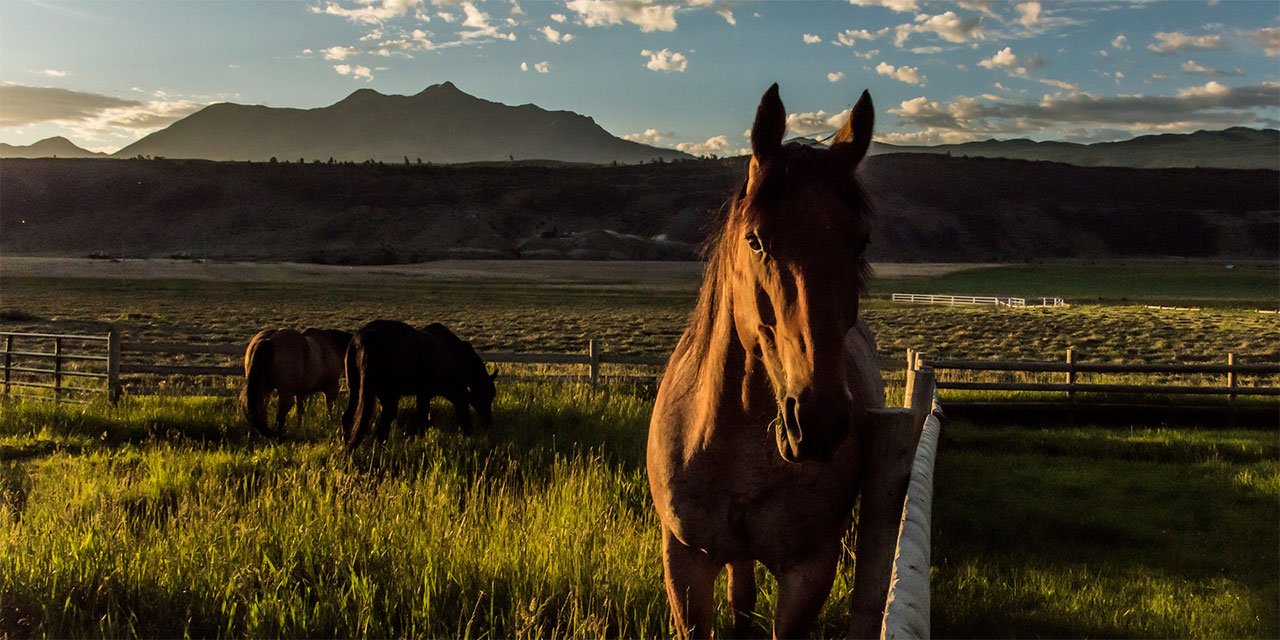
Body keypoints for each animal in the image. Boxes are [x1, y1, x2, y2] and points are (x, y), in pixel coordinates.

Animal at [342, 320, 497, 451]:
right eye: (486, 395)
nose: (489, 423)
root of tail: (366, 335)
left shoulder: (424, 395)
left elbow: (423, 419)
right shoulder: (457, 393)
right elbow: (464, 415)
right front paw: (469, 438)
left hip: (356, 391)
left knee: (349, 419)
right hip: (389, 398)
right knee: (383, 425)